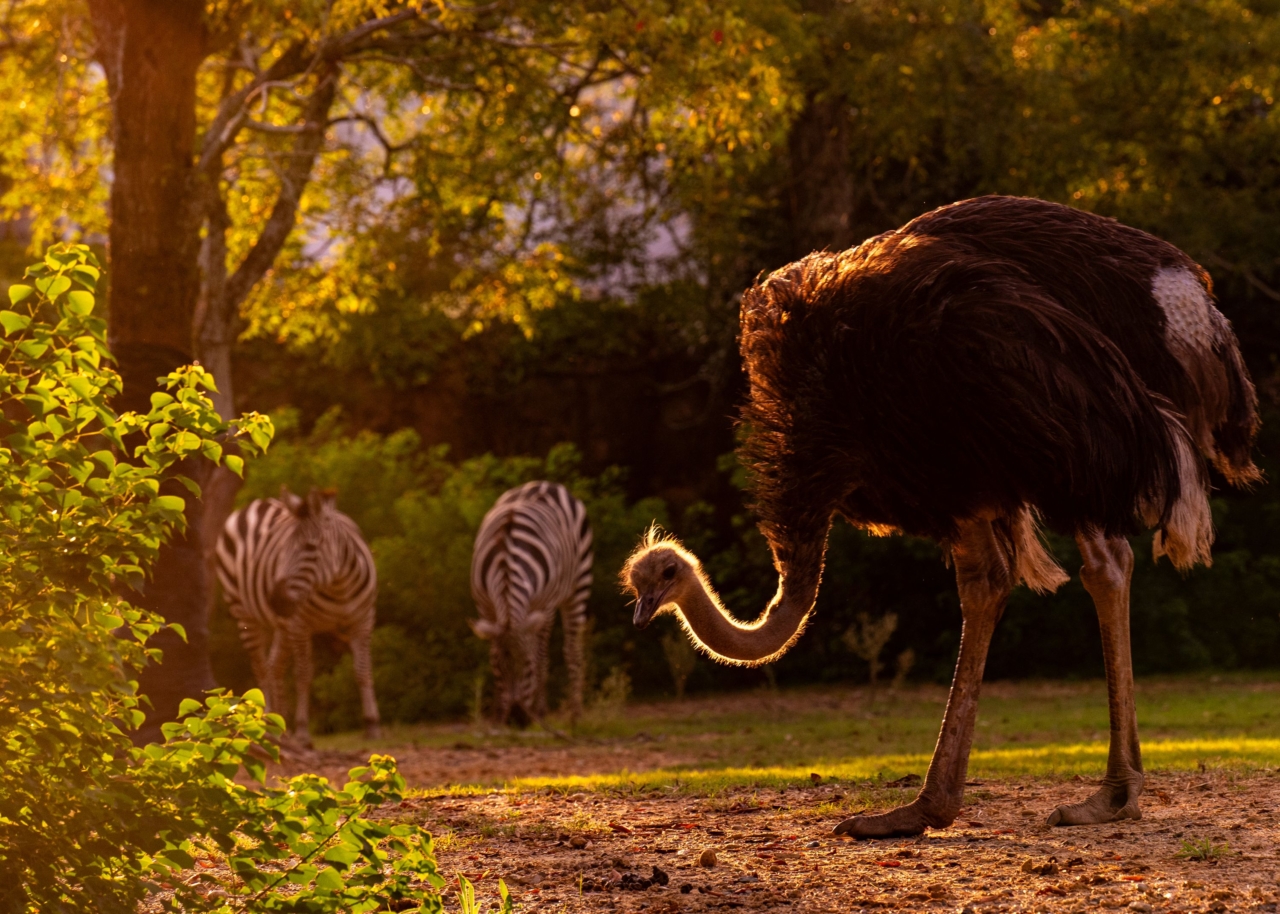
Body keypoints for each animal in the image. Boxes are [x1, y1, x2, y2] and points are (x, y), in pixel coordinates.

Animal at [209, 483, 376, 742]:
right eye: (282, 549)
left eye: (310, 547)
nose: (275, 600)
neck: (339, 587)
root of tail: (256, 503)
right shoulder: (300, 625)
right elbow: (303, 674)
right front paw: (303, 731)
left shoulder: (363, 620)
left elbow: (362, 671)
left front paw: (371, 724)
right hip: (243, 611)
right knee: (261, 667)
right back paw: (265, 722)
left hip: (282, 626)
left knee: (274, 666)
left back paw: (278, 722)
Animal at [473, 481, 591, 721]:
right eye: (499, 668)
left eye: (526, 666)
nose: (516, 718)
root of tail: (545, 484)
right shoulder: (485, 608)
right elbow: (494, 649)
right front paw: (498, 715)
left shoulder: (543, 607)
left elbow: (539, 658)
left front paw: (538, 711)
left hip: (578, 586)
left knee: (569, 650)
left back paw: (574, 714)